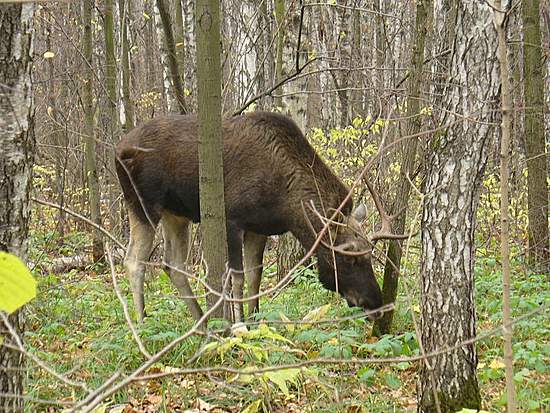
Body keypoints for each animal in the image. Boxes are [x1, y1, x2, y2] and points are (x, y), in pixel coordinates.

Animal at [115, 111, 392, 324]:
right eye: (348, 259)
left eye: (370, 254)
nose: (377, 304)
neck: (285, 203)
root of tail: (117, 150)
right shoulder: (232, 221)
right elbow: (236, 279)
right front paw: (240, 325)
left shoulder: (259, 229)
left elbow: (254, 277)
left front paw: (255, 320)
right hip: (143, 205)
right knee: (134, 261)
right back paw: (142, 324)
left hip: (175, 215)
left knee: (172, 265)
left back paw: (202, 323)